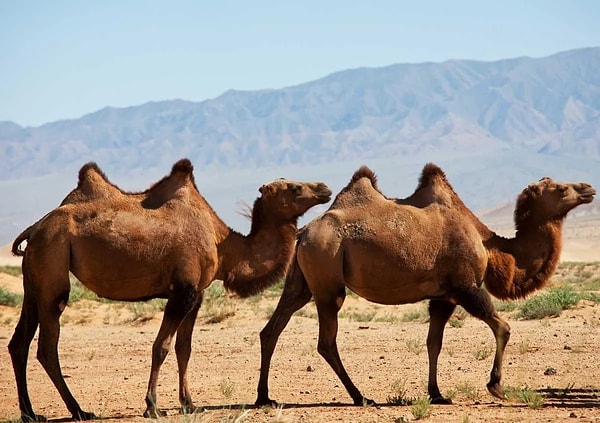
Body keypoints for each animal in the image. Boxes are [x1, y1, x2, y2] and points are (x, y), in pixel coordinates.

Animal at [7, 159, 332, 420]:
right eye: (294, 188)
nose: (325, 188)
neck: (224, 246)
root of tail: (35, 228)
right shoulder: (182, 291)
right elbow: (161, 346)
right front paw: (152, 406)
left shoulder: (197, 294)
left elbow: (183, 348)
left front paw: (189, 404)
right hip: (53, 265)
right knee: (47, 346)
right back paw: (79, 410)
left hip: (34, 280)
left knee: (18, 342)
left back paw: (30, 413)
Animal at [254, 163, 596, 408]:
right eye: (560, 188)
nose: (588, 187)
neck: (490, 245)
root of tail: (303, 233)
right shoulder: (466, 287)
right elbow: (503, 327)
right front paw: (496, 386)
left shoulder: (443, 297)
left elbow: (434, 342)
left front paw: (437, 393)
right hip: (327, 280)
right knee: (326, 341)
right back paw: (361, 397)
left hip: (301, 282)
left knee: (272, 328)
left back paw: (264, 398)